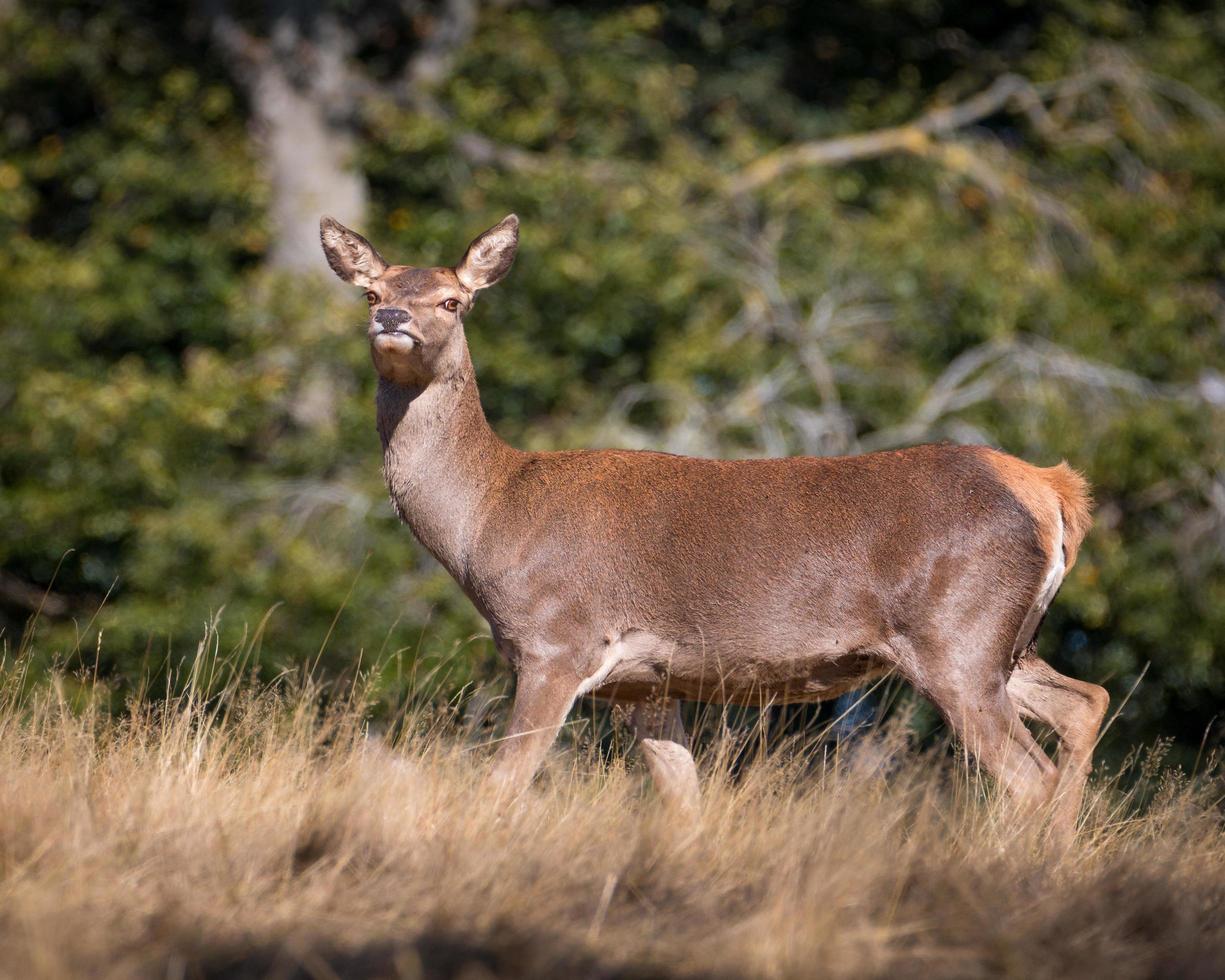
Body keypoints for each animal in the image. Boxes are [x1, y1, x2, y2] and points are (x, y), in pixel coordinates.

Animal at [318, 214, 1112, 842]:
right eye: (372, 291)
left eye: (453, 300)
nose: (392, 320)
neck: (487, 518)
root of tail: (1049, 490)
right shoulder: (643, 685)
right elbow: (683, 803)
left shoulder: (555, 643)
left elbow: (500, 785)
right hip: (1003, 641)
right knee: (1085, 703)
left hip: (957, 635)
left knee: (1030, 777)